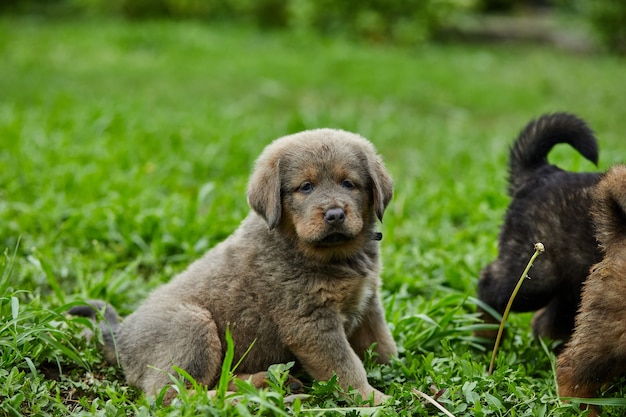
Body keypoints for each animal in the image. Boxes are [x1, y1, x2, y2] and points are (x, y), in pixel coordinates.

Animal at [70, 129, 398, 404]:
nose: (334, 214)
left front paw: (397, 370)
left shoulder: (368, 302)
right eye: (306, 187)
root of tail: (120, 336)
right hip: (192, 325)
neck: (335, 255)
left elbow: (384, 344)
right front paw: (373, 398)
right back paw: (241, 397)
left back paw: (263, 383)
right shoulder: (311, 321)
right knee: (173, 394)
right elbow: (345, 366)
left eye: (349, 184)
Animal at [478, 113, 600, 342]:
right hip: (537, 277)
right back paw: (486, 339)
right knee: (489, 287)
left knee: (550, 321)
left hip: (572, 278)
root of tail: (544, 171)